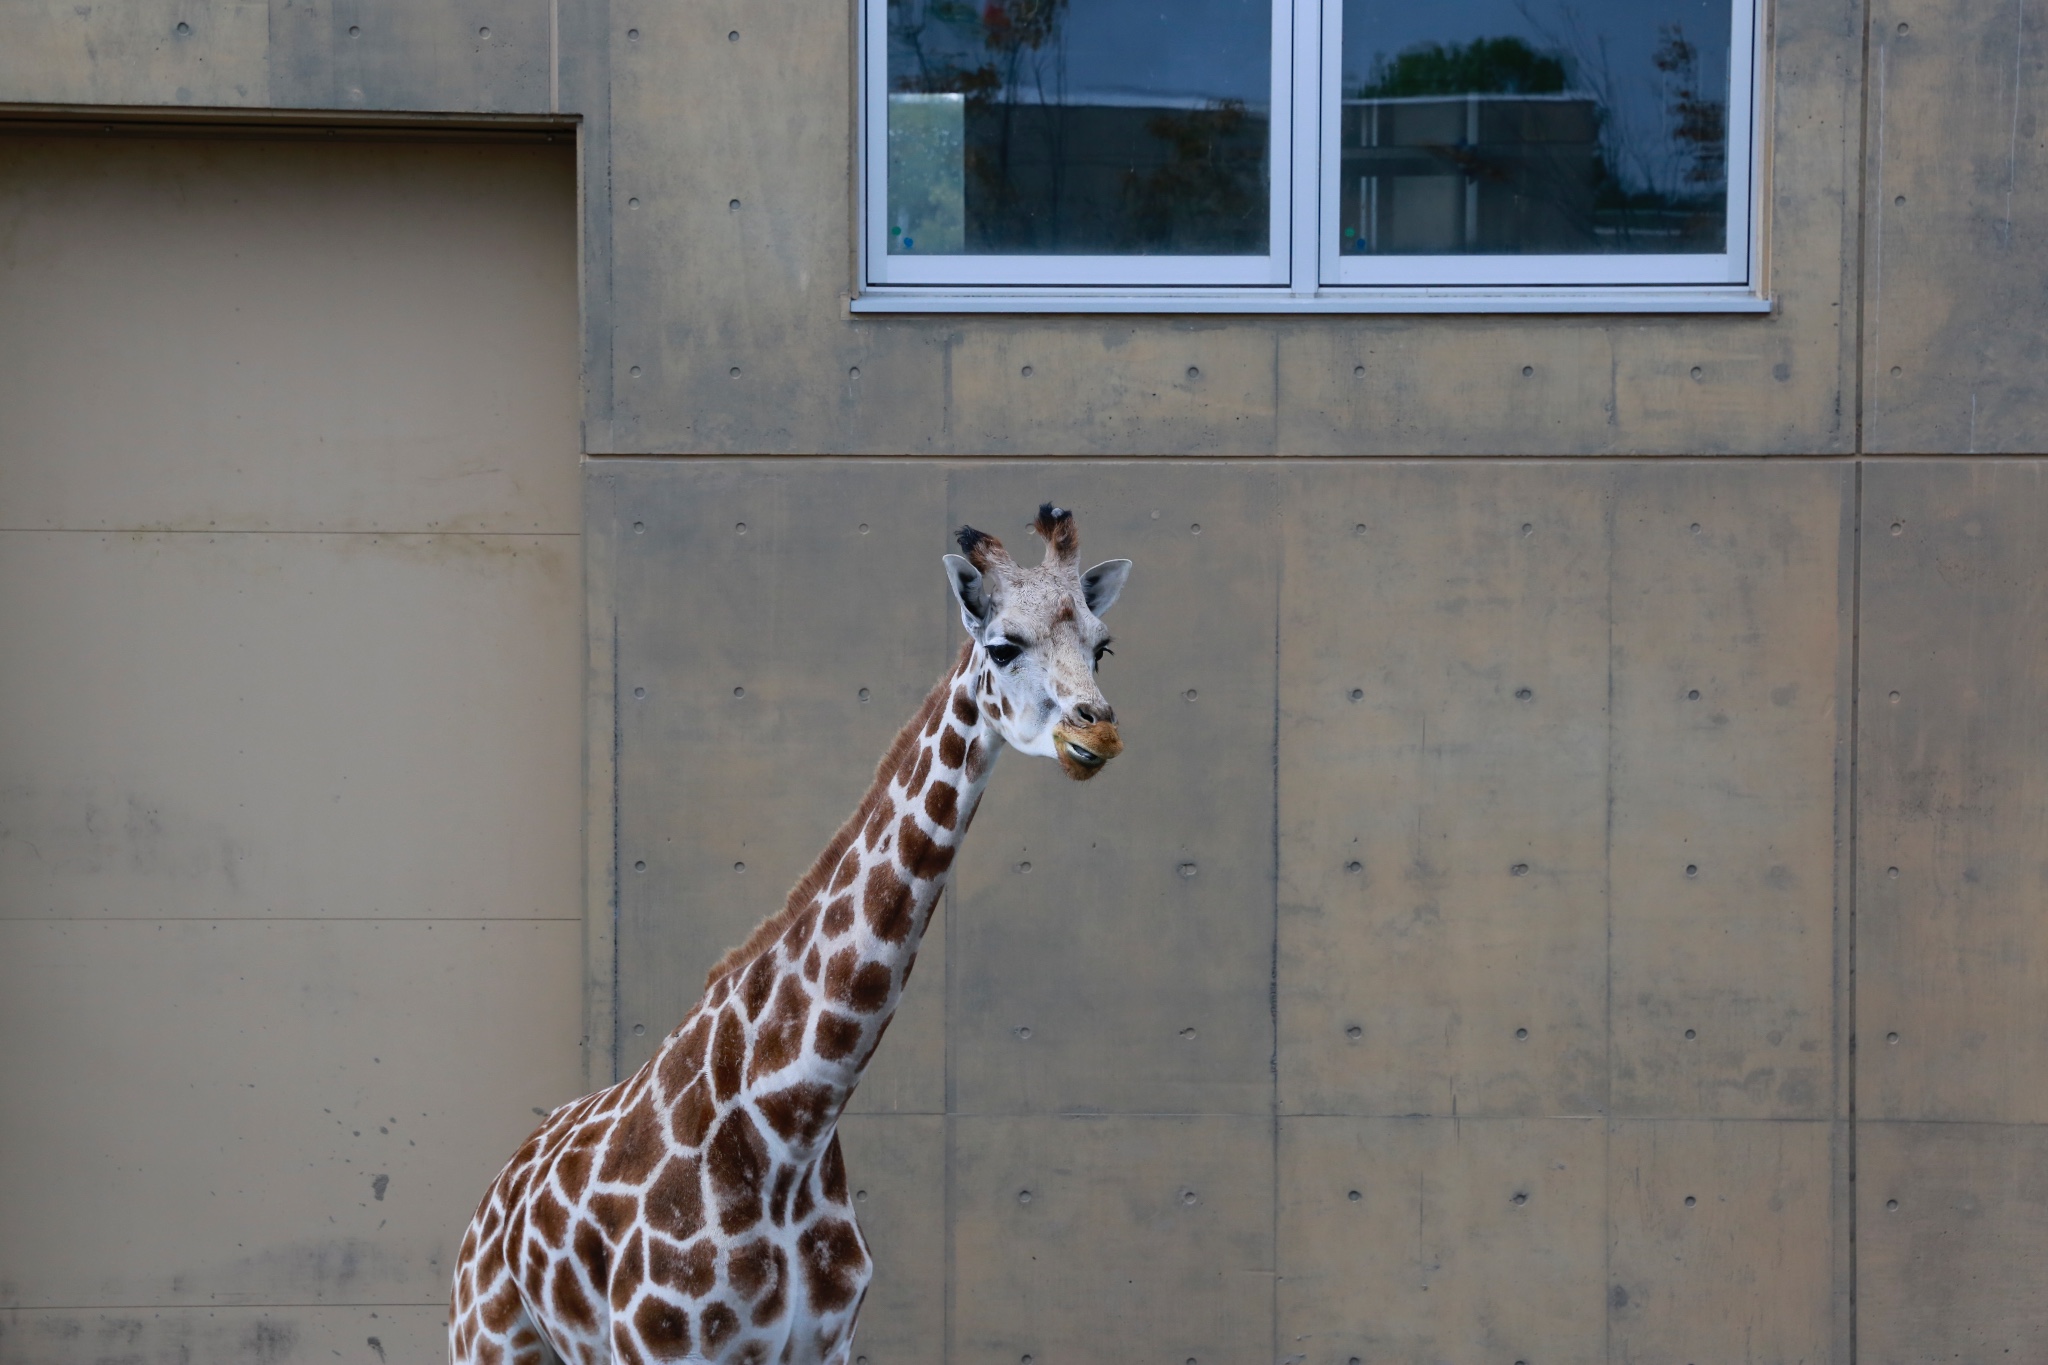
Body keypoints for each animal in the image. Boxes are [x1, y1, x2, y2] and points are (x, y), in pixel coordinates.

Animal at [446, 505, 1138, 1365]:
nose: (1097, 736)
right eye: (1004, 644)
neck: (793, 1124)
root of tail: (489, 1200)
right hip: (487, 1341)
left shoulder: (826, 1343)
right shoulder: (663, 1343)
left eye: (1102, 644)